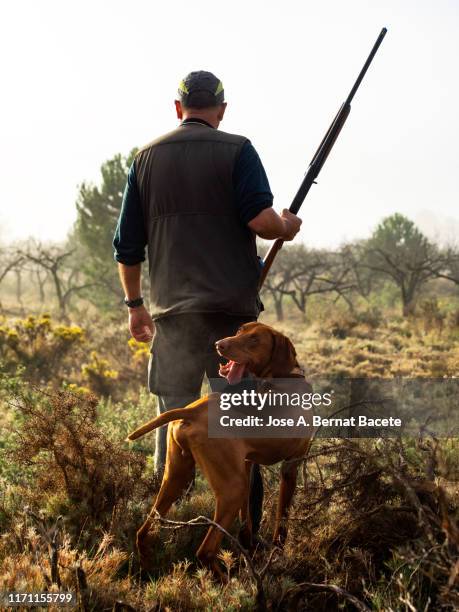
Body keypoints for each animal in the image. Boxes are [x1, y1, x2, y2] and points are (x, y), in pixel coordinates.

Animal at [127, 322, 312, 580]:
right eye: (239, 331)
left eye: (254, 339)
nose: (219, 344)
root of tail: (192, 411)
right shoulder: (290, 466)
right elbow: (282, 522)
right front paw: (277, 555)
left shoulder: (248, 464)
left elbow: (247, 522)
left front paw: (249, 551)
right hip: (232, 488)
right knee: (205, 551)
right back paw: (229, 583)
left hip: (176, 477)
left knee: (143, 532)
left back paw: (147, 572)